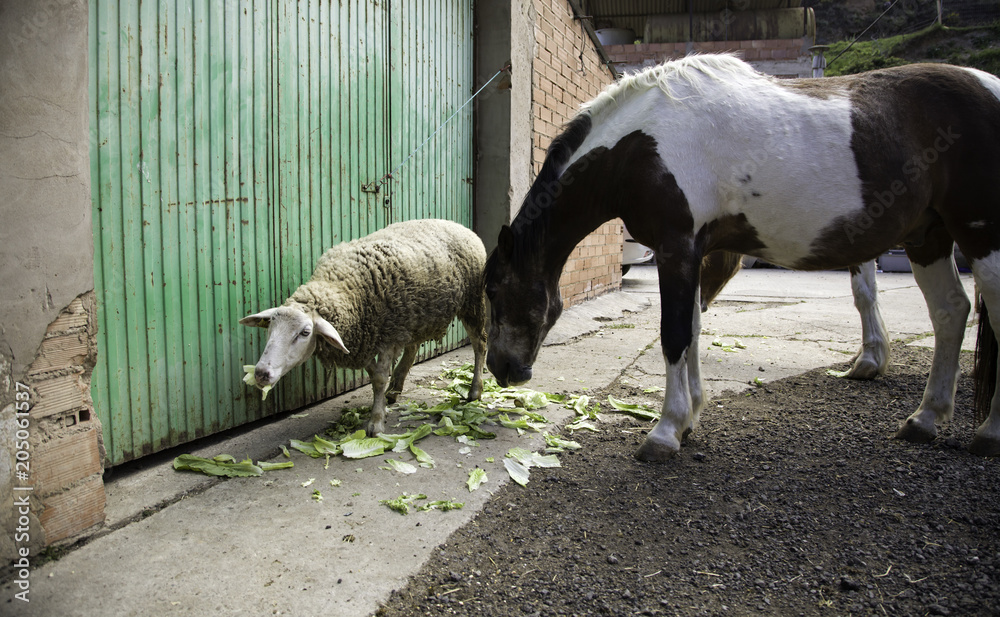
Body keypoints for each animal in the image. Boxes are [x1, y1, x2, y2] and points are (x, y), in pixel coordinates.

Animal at [484, 54, 1000, 461]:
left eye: (492, 289)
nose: (500, 369)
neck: (642, 143)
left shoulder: (676, 248)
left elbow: (674, 335)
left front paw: (665, 431)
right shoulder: (695, 253)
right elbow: (692, 328)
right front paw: (689, 417)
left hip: (980, 236)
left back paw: (988, 433)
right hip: (928, 236)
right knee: (951, 312)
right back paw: (925, 419)